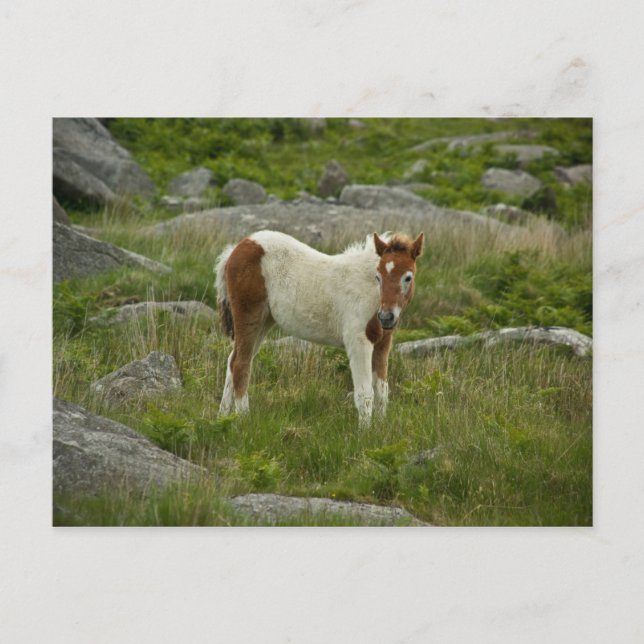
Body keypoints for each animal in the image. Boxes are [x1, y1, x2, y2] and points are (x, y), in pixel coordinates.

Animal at [214, 230, 424, 426]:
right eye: (378, 276)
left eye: (408, 277)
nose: (386, 317)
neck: (370, 294)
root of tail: (237, 248)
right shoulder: (358, 341)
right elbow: (365, 393)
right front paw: (364, 434)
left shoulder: (382, 343)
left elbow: (381, 391)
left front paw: (379, 429)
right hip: (249, 315)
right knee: (241, 364)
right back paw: (243, 419)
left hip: (264, 321)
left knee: (233, 361)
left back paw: (224, 417)